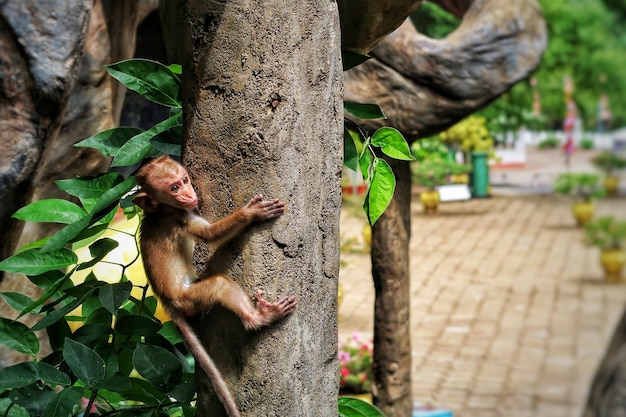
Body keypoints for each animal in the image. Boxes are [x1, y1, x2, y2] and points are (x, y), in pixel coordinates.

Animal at [132, 154, 298, 414]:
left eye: (184, 180)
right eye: (174, 188)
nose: (189, 194)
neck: (160, 210)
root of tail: (167, 302)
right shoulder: (180, 218)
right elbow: (210, 235)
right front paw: (251, 213)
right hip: (188, 299)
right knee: (219, 285)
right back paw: (259, 317)